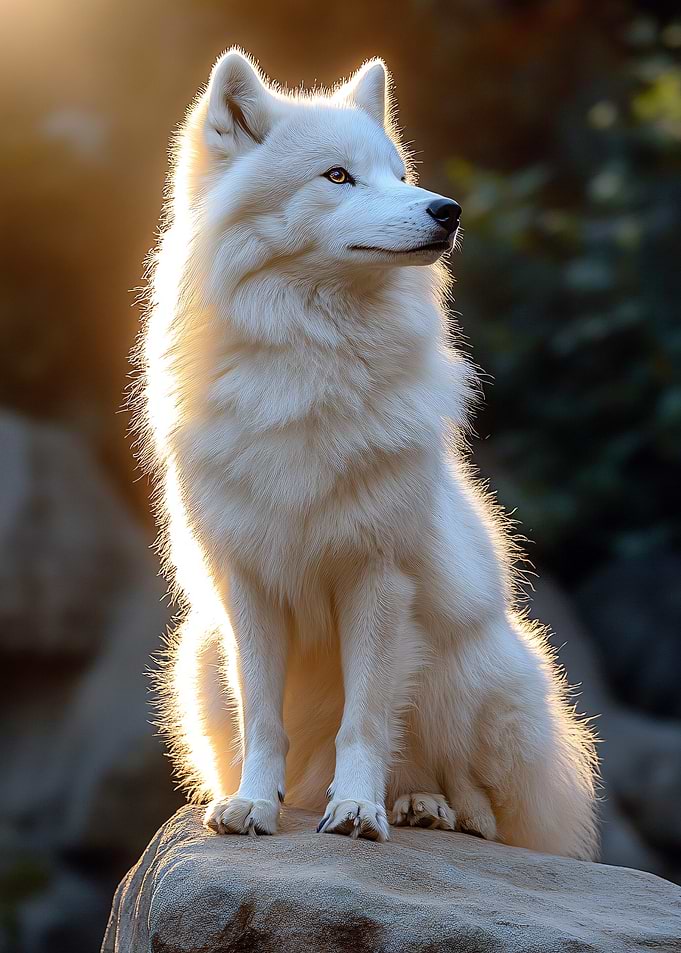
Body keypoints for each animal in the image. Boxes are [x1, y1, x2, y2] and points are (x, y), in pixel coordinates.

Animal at [136, 49, 598, 858]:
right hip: (199, 657)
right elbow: (264, 720)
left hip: (474, 667)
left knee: (481, 802)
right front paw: (251, 804)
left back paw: (424, 805)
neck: (309, 363)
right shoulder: (249, 586)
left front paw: (357, 810)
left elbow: (366, 722)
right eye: (337, 176)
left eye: (397, 173)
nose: (447, 210)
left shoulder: (376, 579)